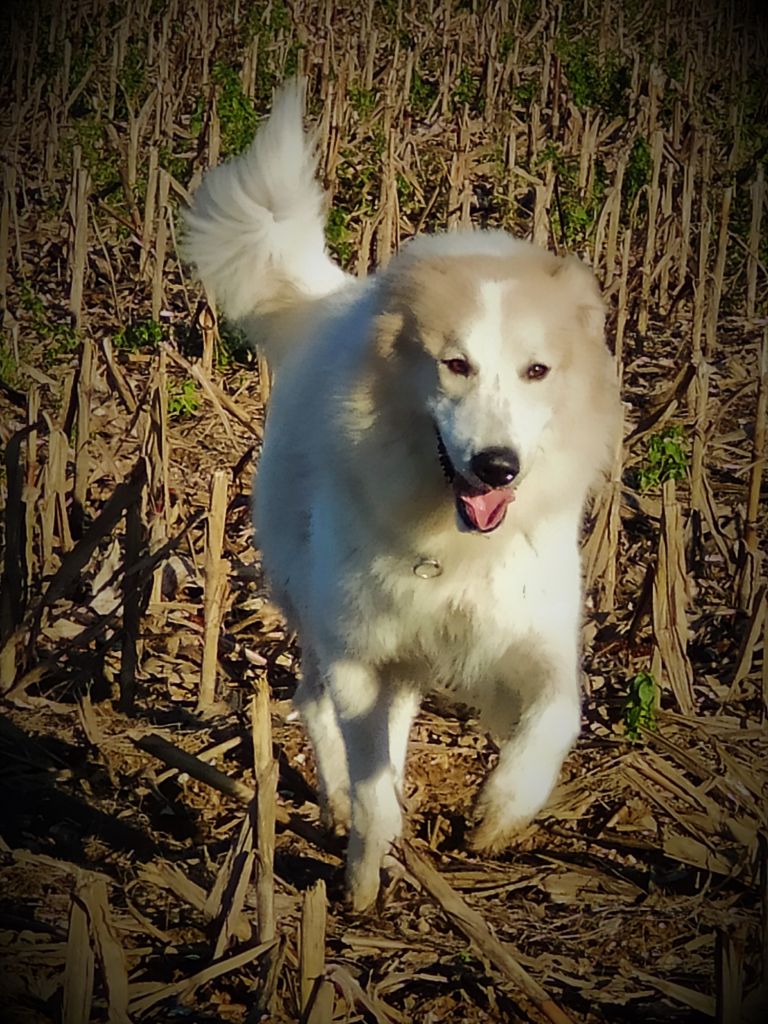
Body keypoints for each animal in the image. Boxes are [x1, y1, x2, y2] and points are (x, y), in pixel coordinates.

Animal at [186, 81, 626, 913]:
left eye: (537, 372)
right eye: (455, 365)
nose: (497, 466)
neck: (452, 540)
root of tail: (337, 298)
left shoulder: (530, 640)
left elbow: (558, 715)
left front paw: (501, 810)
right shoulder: (359, 653)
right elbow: (369, 777)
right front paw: (363, 870)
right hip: (327, 621)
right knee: (315, 705)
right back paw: (338, 807)